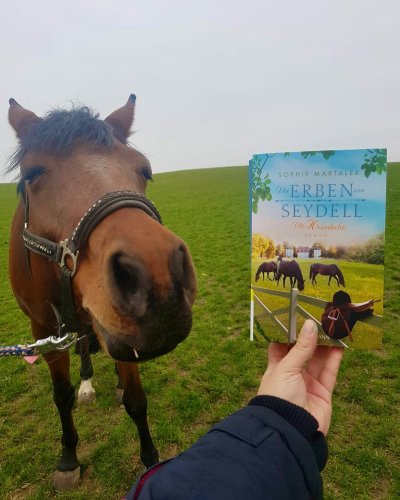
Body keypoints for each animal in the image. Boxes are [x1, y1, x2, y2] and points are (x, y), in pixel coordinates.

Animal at [7, 95, 198, 490]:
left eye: (145, 171)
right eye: (32, 174)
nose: (159, 279)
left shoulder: (122, 336)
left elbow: (137, 401)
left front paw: (149, 459)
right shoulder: (44, 331)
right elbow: (61, 396)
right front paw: (68, 458)